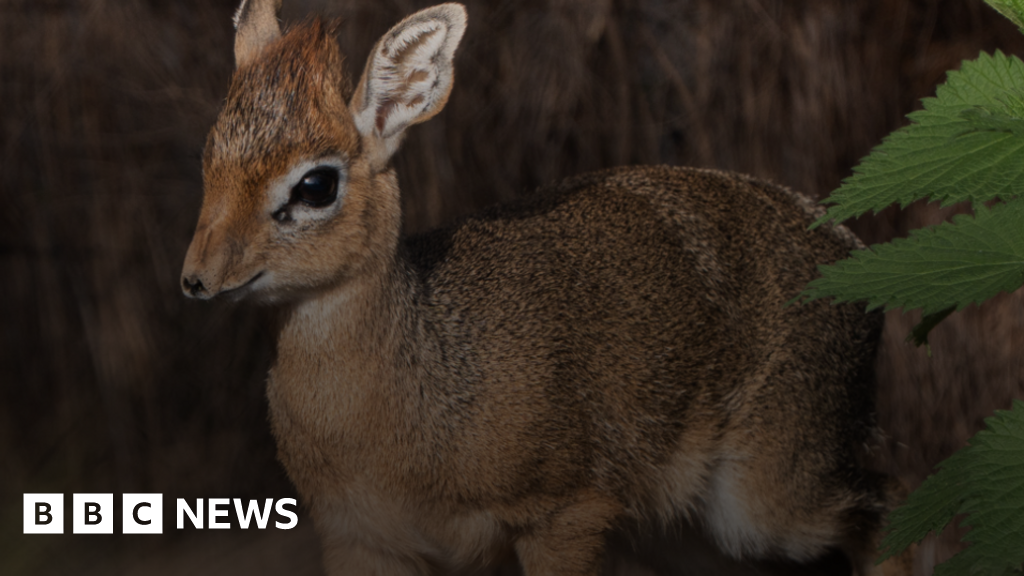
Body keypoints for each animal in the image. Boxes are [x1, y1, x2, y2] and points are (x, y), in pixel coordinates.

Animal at [181, 2, 902, 574]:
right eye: (209, 156)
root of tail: (846, 244)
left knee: (892, 511)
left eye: (316, 184)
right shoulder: (361, 541)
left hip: (770, 498)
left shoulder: (565, 512)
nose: (197, 278)